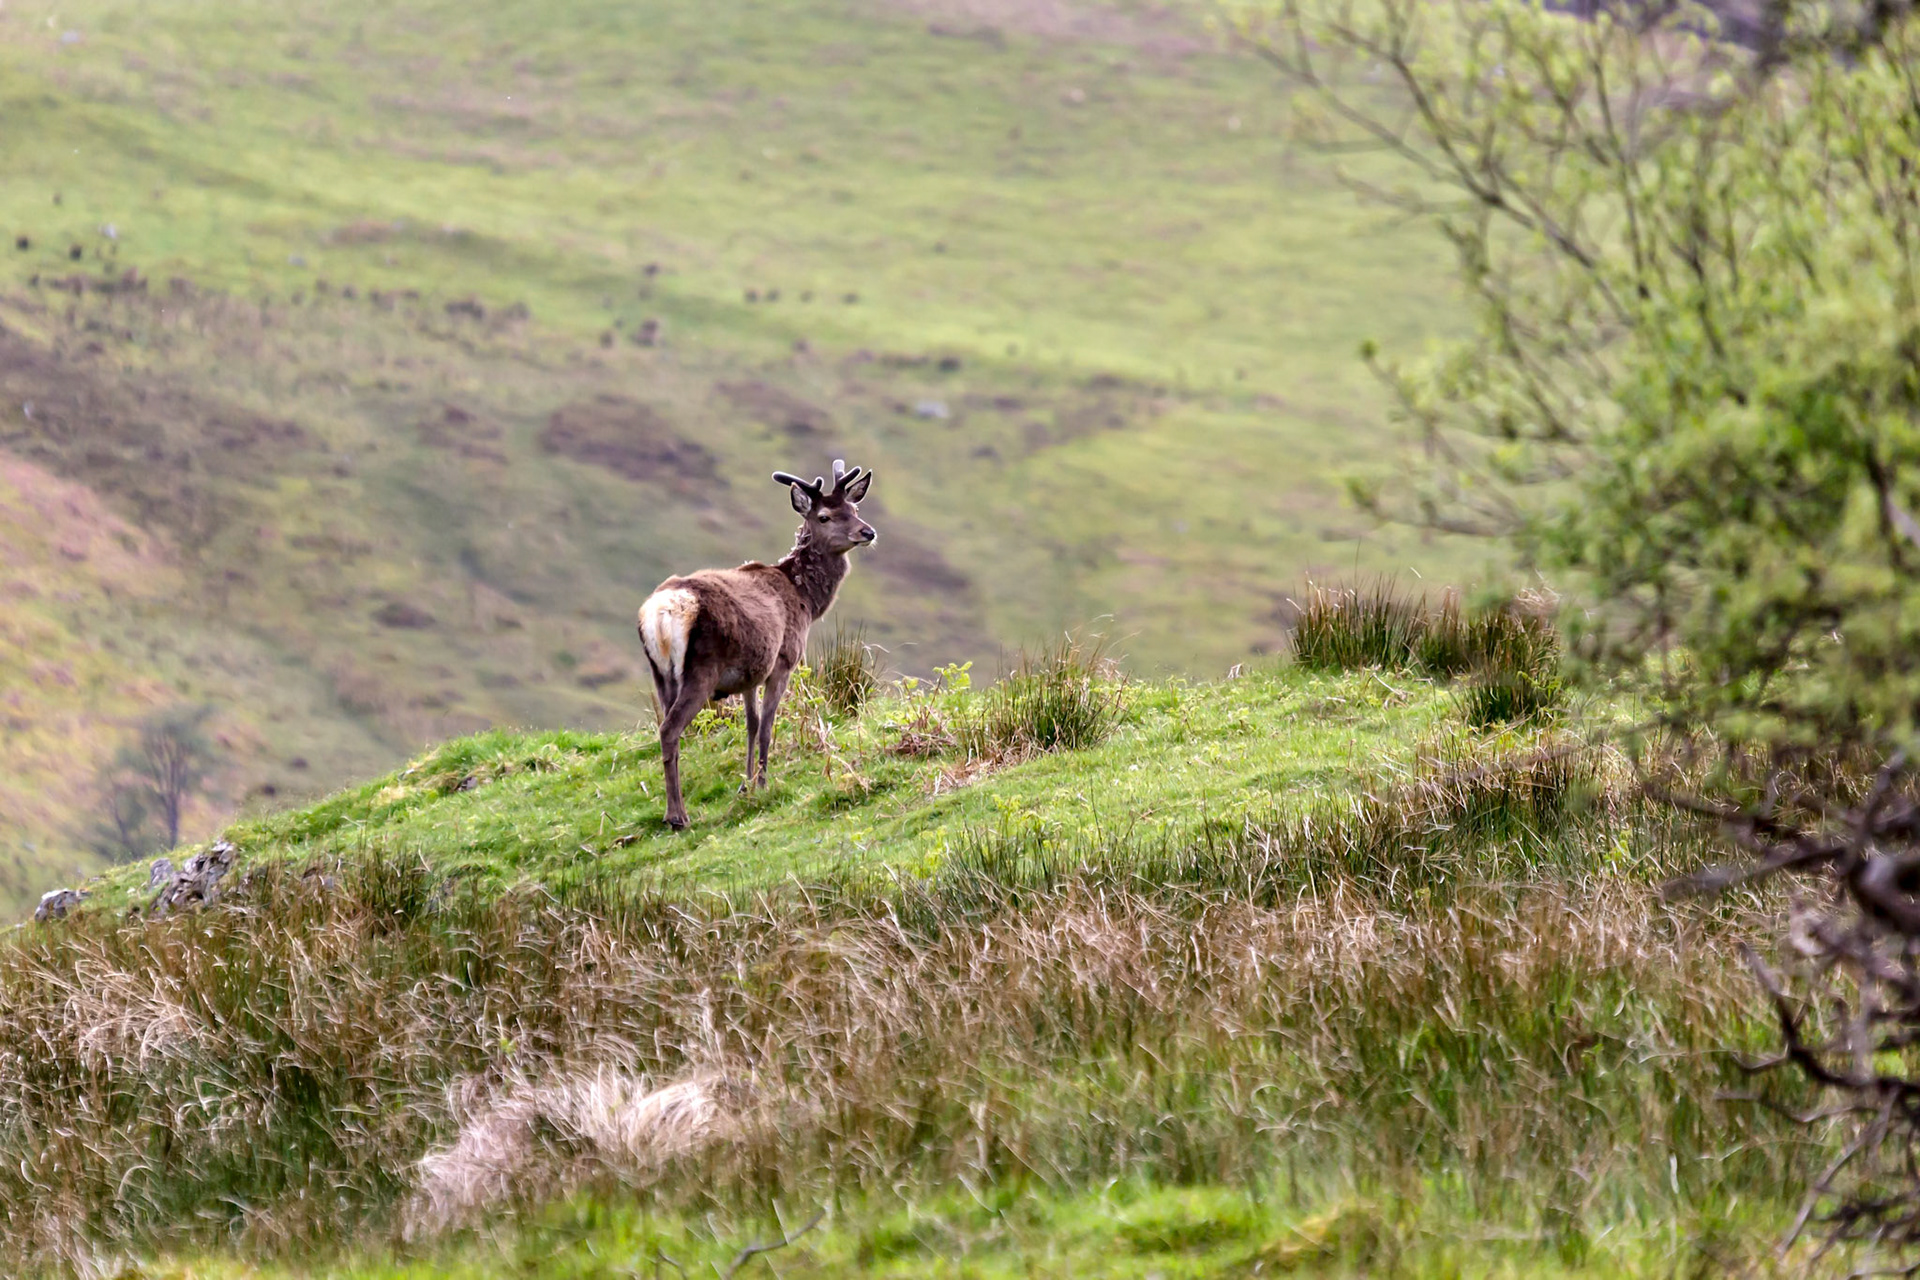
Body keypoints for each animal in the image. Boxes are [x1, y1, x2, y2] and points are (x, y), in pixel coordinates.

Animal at [636, 459, 876, 829]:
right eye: (824, 516)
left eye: (854, 509)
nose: (867, 532)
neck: (806, 601)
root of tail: (661, 612)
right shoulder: (783, 660)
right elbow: (766, 726)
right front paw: (763, 783)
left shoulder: (750, 673)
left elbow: (749, 725)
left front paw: (745, 783)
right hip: (701, 669)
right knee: (669, 729)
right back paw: (678, 815)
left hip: (660, 673)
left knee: (669, 730)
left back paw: (671, 809)